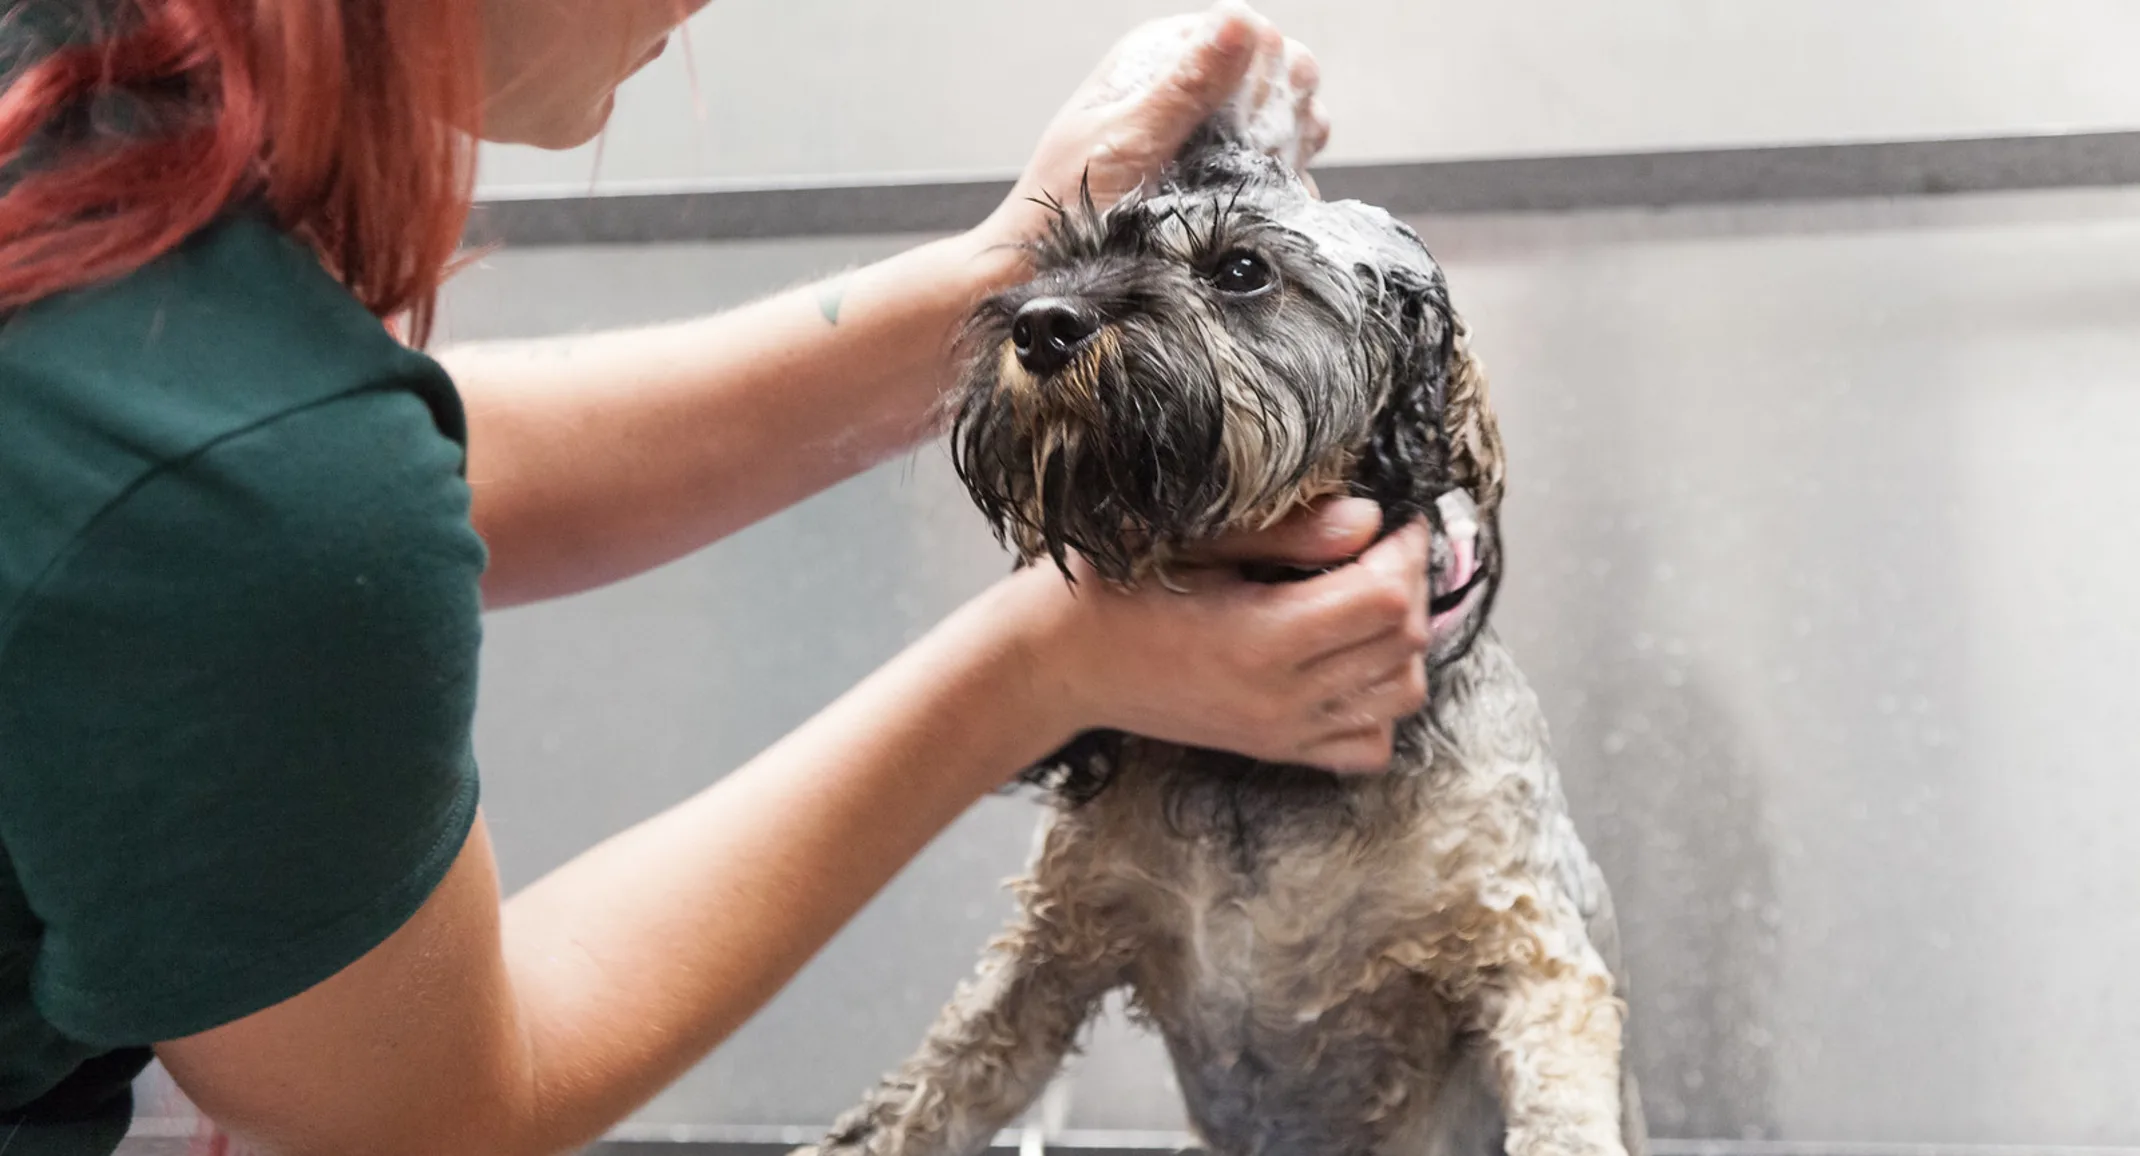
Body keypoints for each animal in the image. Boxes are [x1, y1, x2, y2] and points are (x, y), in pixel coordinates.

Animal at [804, 124, 1652, 1156]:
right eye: (1072, 255)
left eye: (1241, 269)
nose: (1042, 324)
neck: (1255, 777)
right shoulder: (1057, 945)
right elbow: (929, 1092)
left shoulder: (1526, 948)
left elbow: (1561, 1090)